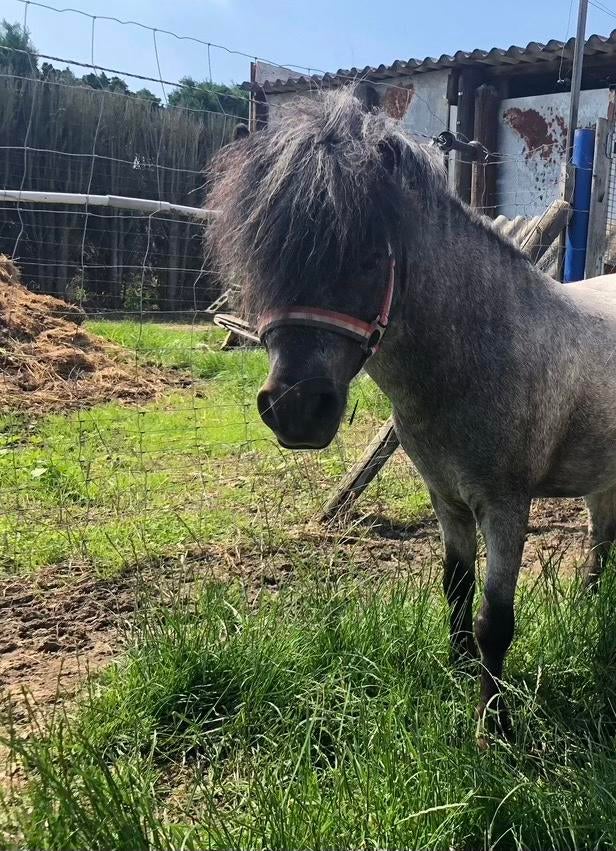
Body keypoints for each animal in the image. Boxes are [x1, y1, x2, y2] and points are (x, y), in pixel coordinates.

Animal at [206, 88, 616, 736]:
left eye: (368, 256)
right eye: (263, 257)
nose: (296, 410)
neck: (479, 352)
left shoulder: (506, 505)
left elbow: (495, 620)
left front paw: (492, 727)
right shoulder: (447, 499)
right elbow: (456, 589)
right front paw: (458, 673)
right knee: (601, 535)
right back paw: (588, 604)